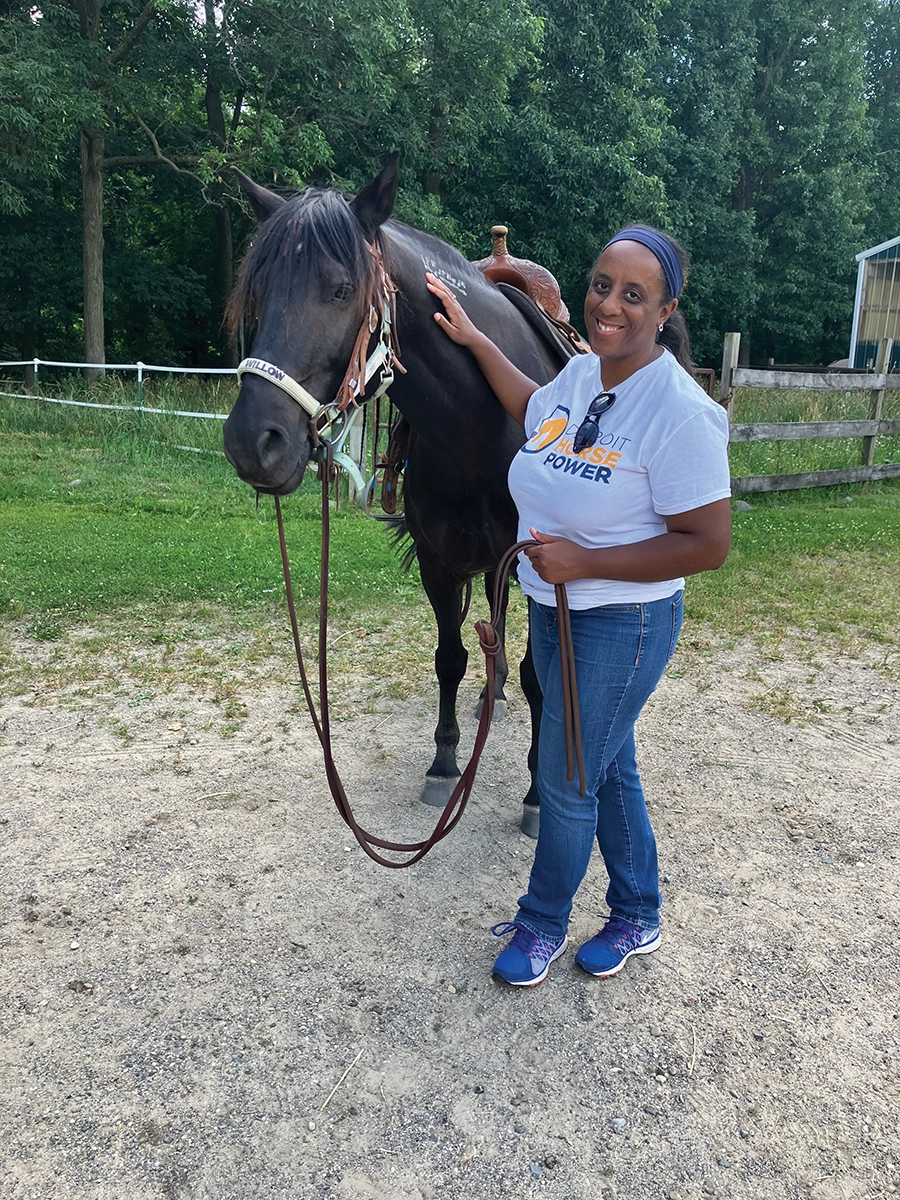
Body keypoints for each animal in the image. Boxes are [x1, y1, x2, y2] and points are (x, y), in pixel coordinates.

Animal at [222, 153, 572, 837]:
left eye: (341, 289)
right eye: (259, 290)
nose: (253, 441)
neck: (481, 425)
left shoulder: (534, 567)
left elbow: (538, 676)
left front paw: (537, 795)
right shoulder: (440, 562)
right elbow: (450, 657)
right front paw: (444, 765)